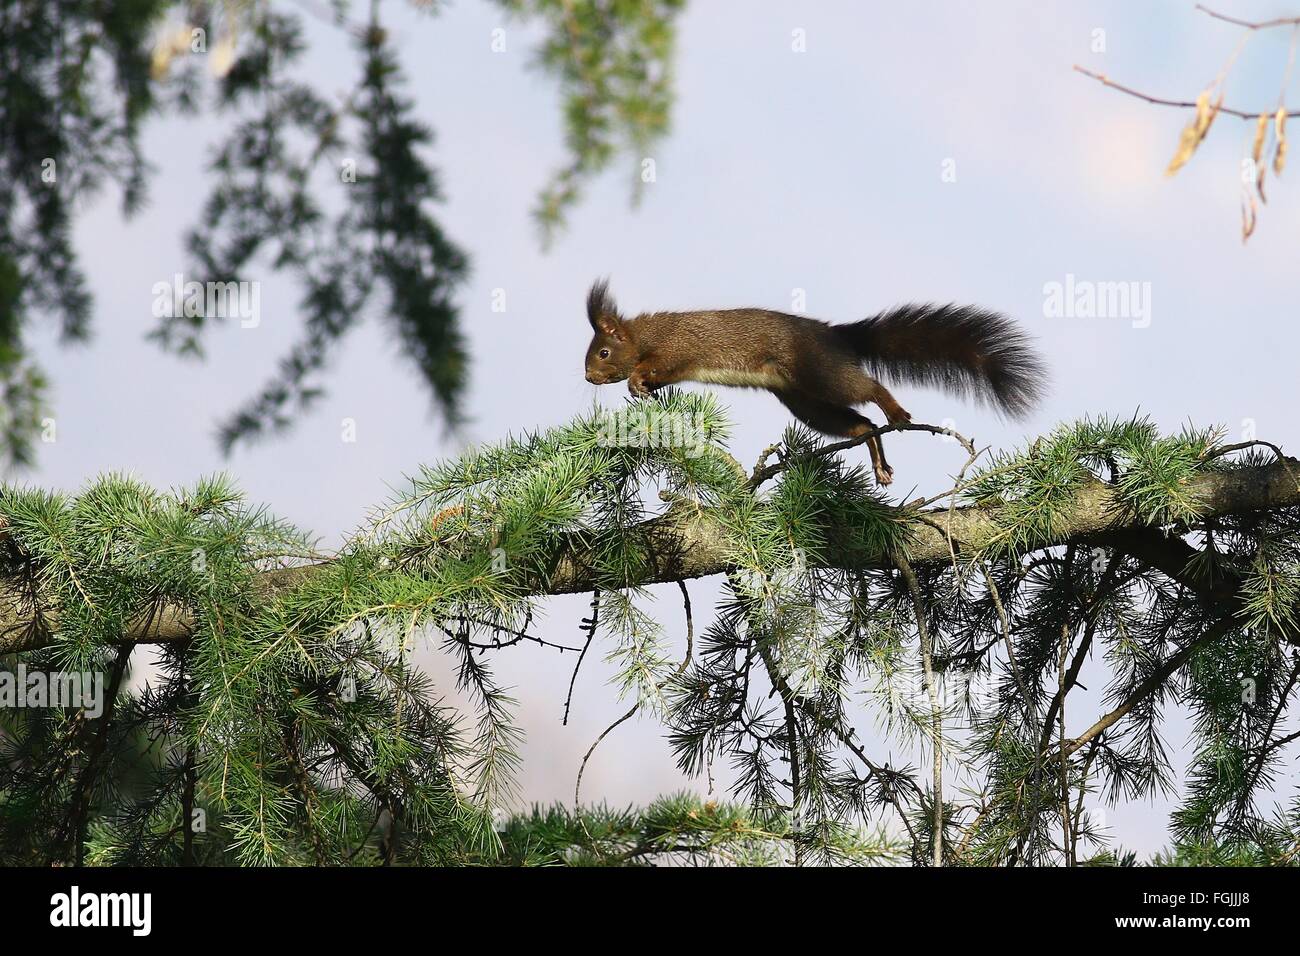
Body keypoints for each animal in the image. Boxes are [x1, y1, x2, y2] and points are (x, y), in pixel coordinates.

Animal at [582, 279, 1047, 486]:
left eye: (602, 352)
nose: (588, 376)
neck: (642, 335)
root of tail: (835, 335)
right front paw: (644, 391)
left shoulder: (675, 349)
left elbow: (655, 365)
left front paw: (636, 381)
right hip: (805, 401)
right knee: (860, 424)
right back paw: (878, 461)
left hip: (819, 373)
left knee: (869, 390)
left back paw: (896, 412)